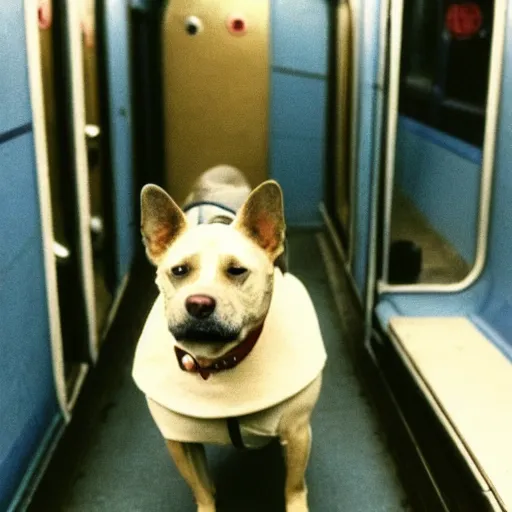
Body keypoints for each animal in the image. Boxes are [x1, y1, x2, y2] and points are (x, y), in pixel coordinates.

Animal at [131, 166, 324, 510]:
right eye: (179, 271)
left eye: (237, 271)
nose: (198, 303)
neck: (218, 363)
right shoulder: (180, 442)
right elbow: (202, 489)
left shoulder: (298, 432)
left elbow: (293, 485)